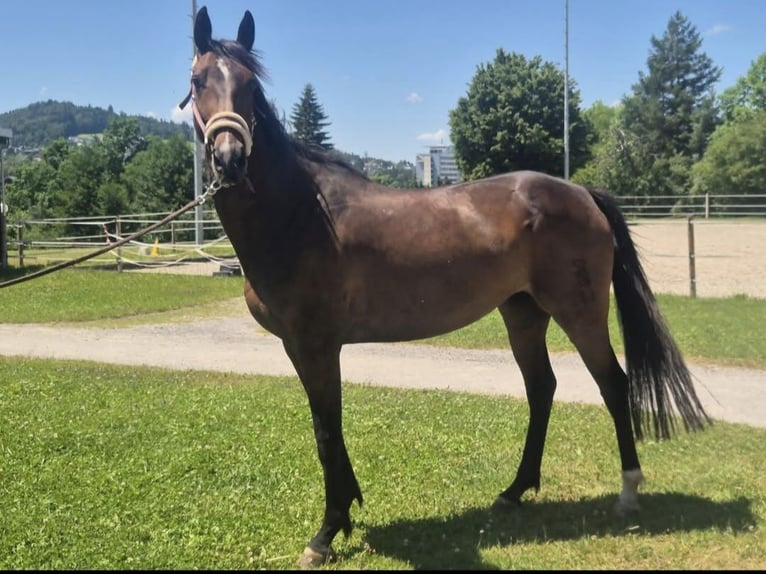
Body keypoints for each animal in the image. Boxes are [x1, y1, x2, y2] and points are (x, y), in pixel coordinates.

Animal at [180, 7, 710, 567]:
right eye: (198, 82)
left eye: (250, 85)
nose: (230, 159)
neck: (302, 214)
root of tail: (580, 192)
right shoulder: (304, 348)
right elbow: (332, 428)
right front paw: (346, 513)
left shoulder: (316, 345)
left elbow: (326, 431)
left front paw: (326, 532)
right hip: (523, 313)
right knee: (542, 388)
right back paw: (514, 491)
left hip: (580, 312)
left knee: (612, 384)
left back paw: (627, 492)